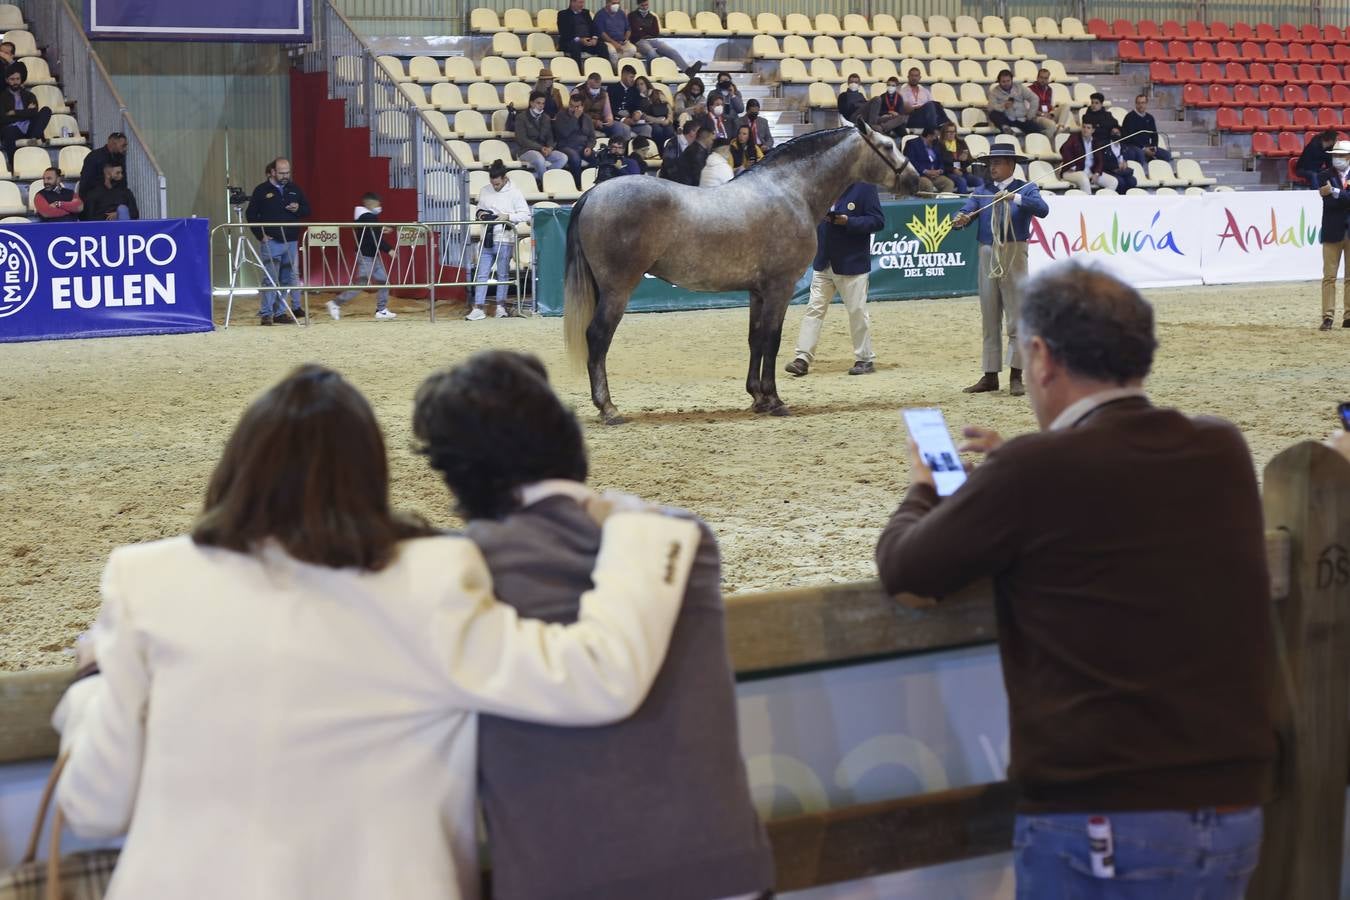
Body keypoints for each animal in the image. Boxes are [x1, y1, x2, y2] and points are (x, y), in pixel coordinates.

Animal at [558, 122, 918, 426]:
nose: (916, 179)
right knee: (598, 337)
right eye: (887, 145)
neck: (790, 191)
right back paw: (609, 409)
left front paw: (757, 397)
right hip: (617, 290)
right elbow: (772, 340)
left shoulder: (757, 292)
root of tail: (593, 194)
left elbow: (755, 339)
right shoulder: (780, 288)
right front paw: (774, 400)